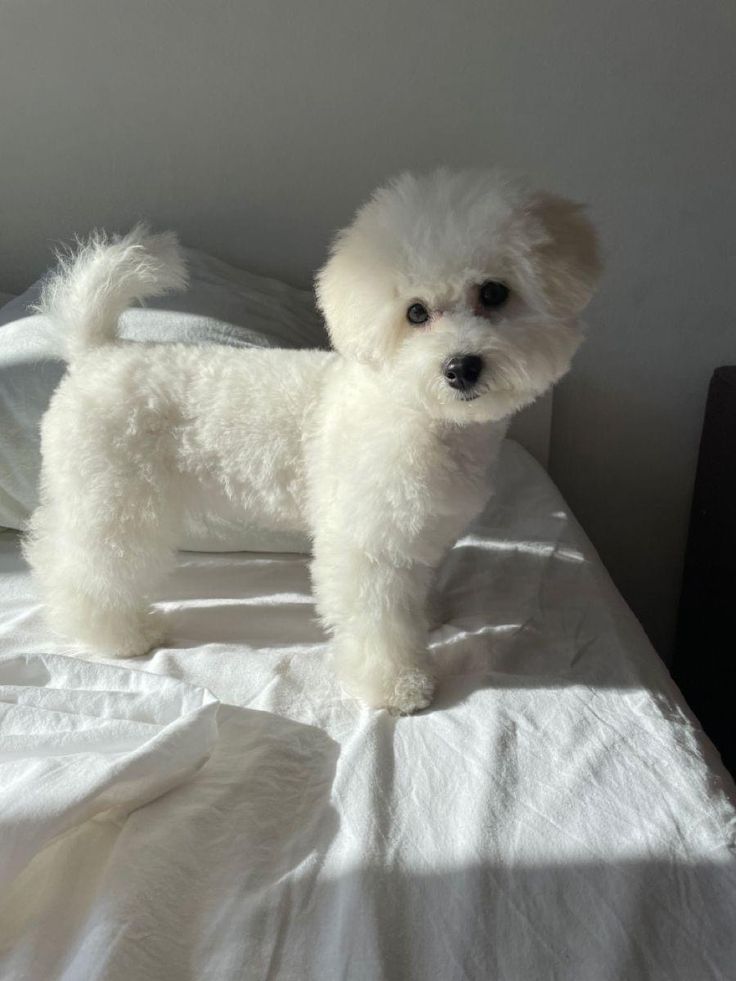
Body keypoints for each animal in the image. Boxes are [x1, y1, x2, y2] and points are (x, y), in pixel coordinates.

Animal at [25, 170, 600, 712]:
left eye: (494, 292)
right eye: (415, 313)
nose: (461, 367)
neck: (415, 411)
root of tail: (97, 350)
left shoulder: (418, 531)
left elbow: (413, 590)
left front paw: (427, 616)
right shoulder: (366, 543)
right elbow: (378, 622)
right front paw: (397, 686)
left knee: (54, 546)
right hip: (116, 497)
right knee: (95, 565)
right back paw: (116, 634)